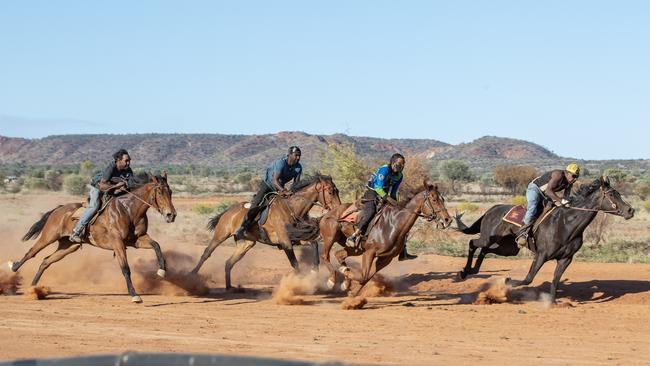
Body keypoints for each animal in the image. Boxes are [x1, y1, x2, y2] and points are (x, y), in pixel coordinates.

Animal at [8, 174, 175, 304]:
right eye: (160, 192)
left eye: (171, 191)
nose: (171, 215)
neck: (128, 209)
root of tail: (59, 209)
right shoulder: (118, 243)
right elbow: (126, 269)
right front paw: (134, 295)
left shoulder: (137, 240)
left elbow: (156, 245)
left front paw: (162, 270)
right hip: (49, 236)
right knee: (31, 252)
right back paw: (14, 268)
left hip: (68, 246)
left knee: (46, 261)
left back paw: (33, 289)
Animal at [189, 173, 342, 290]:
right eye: (330, 191)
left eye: (337, 191)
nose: (338, 208)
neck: (292, 208)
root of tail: (228, 211)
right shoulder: (285, 241)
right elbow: (295, 264)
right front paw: (299, 284)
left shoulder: (298, 238)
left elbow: (314, 245)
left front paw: (314, 271)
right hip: (221, 235)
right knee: (207, 253)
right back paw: (191, 275)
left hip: (246, 244)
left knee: (229, 263)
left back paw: (230, 287)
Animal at [286, 179, 448, 294]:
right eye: (434, 199)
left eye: (443, 199)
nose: (447, 220)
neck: (393, 224)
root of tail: (326, 214)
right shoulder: (370, 252)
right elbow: (363, 275)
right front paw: (346, 279)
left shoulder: (385, 259)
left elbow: (366, 278)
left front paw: (351, 290)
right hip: (330, 237)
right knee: (325, 256)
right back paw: (332, 280)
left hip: (354, 248)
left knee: (339, 254)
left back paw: (344, 275)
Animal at [454, 177, 632, 304]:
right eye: (611, 194)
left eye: (618, 193)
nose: (630, 210)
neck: (566, 224)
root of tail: (492, 209)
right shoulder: (541, 254)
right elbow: (529, 278)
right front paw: (507, 281)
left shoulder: (566, 259)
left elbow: (555, 281)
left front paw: (552, 302)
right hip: (488, 237)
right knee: (473, 244)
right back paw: (464, 271)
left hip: (509, 248)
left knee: (484, 250)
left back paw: (473, 270)